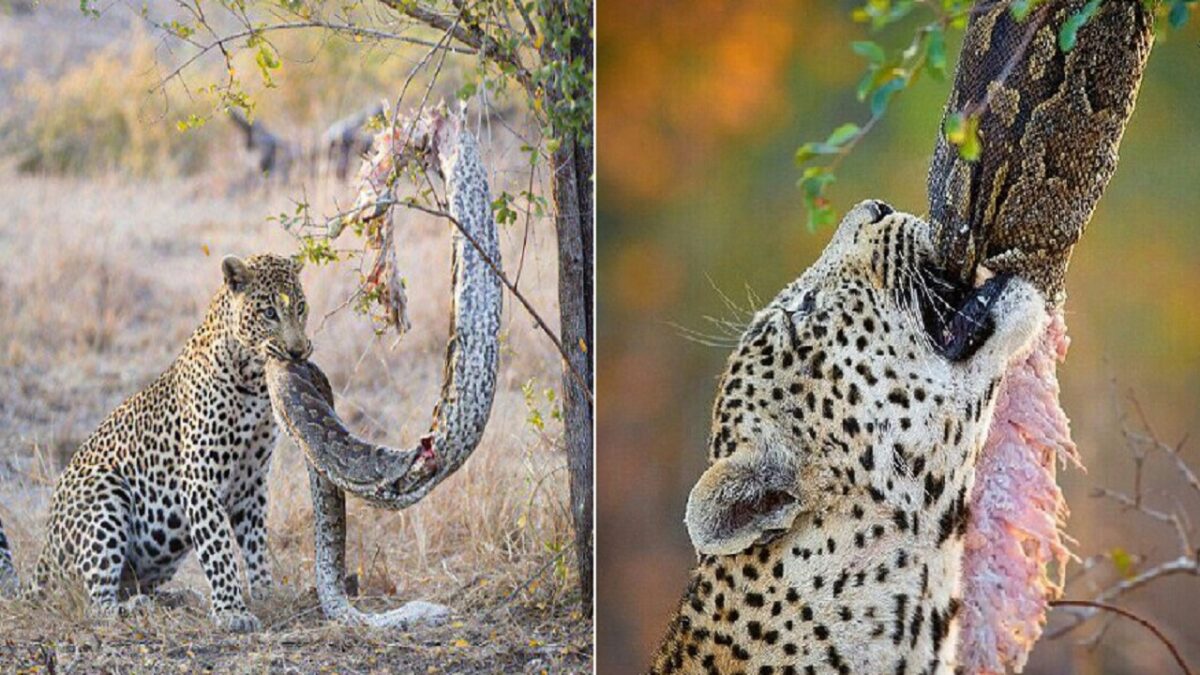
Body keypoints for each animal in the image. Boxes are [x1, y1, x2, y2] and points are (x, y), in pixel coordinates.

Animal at [0, 254, 310, 633]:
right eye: (269, 312)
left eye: (300, 307)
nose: (298, 352)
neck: (253, 380)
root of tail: (43, 557)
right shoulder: (201, 480)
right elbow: (219, 548)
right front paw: (231, 611)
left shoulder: (251, 482)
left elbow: (255, 544)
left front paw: (265, 593)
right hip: (104, 489)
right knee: (94, 602)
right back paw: (134, 608)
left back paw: (178, 598)